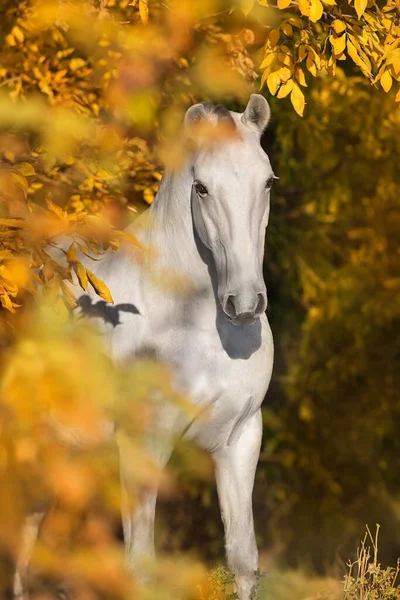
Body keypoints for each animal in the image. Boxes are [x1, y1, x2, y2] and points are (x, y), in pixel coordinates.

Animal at [13, 95, 276, 600]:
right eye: (201, 188)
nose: (245, 303)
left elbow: (243, 559)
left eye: (268, 181)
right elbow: (140, 566)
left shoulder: (238, 440)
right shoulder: (142, 446)